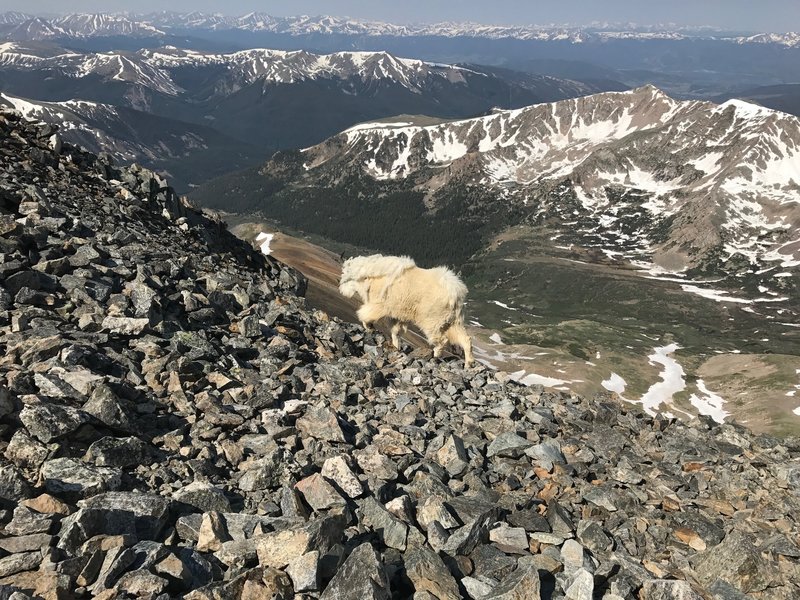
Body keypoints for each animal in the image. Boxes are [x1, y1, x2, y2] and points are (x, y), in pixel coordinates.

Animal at [340, 253, 476, 366]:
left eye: (347, 277)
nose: (341, 290)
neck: (370, 278)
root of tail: (454, 293)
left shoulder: (380, 305)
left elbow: (366, 314)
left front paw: (369, 327)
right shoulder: (396, 316)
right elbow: (395, 332)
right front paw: (396, 347)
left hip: (431, 321)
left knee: (442, 340)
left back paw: (436, 354)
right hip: (453, 322)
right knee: (465, 339)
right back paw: (468, 364)